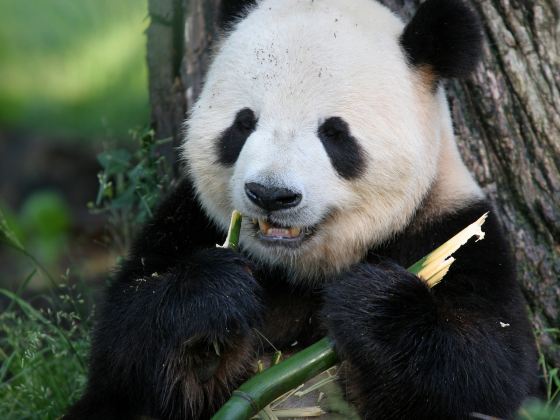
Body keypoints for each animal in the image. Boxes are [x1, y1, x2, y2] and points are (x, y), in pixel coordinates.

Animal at [65, 0, 540, 420]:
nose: (271, 194)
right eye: (244, 123)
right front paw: (214, 302)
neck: (300, 269)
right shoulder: (187, 219)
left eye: (334, 133)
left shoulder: (455, 231)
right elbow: (123, 344)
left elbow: (488, 370)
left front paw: (370, 302)